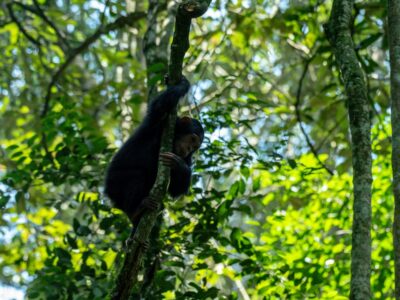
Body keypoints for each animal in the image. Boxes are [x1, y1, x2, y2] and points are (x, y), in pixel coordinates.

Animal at [104, 77, 203, 225]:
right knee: (137, 175)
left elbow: (176, 189)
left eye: (195, 147)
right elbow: (160, 106)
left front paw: (178, 164)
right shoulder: (159, 121)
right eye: (192, 139)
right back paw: (135, 210)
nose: (189, 149)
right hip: (114, 184)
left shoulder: (188, 158)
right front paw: (183, 84)